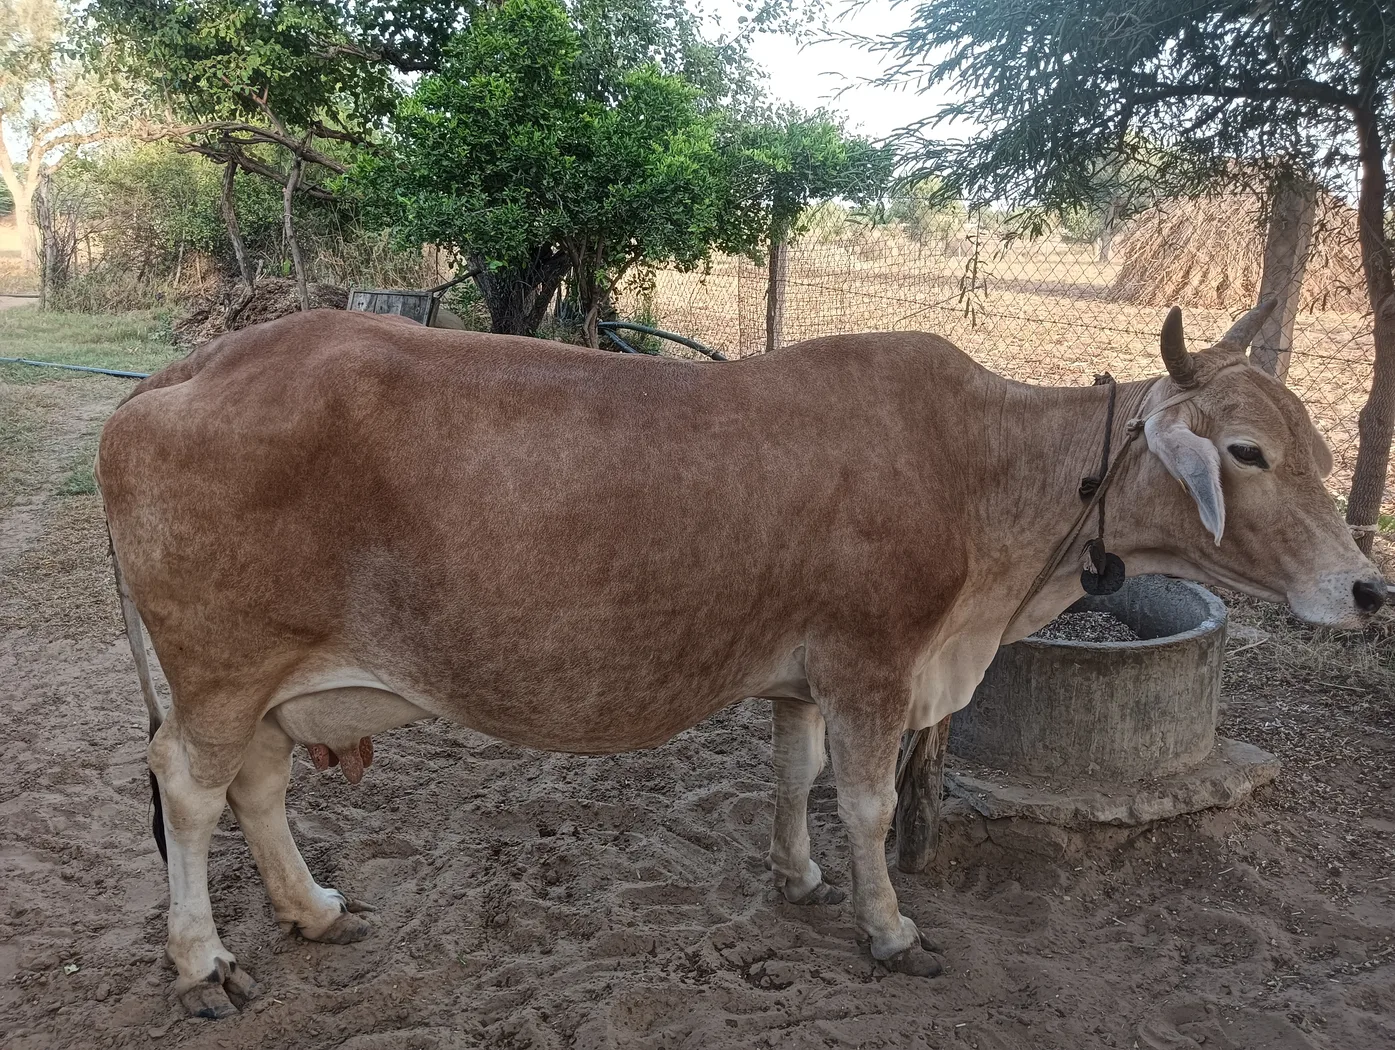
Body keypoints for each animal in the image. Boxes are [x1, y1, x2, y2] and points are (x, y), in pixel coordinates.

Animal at [96, 301, 1385, 1018]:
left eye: (1319, 448)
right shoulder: (873, 662)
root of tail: (182, 373)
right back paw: (202, 965)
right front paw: (887, 928)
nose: (1370, 588)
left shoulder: (804, 675)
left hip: (267, 682)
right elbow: (867, 805)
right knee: (191, 794)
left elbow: (795, 778)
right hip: (221, 671)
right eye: (1246, 451)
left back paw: (313, 911)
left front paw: (800, 879)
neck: (988, 477)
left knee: (257, 790)